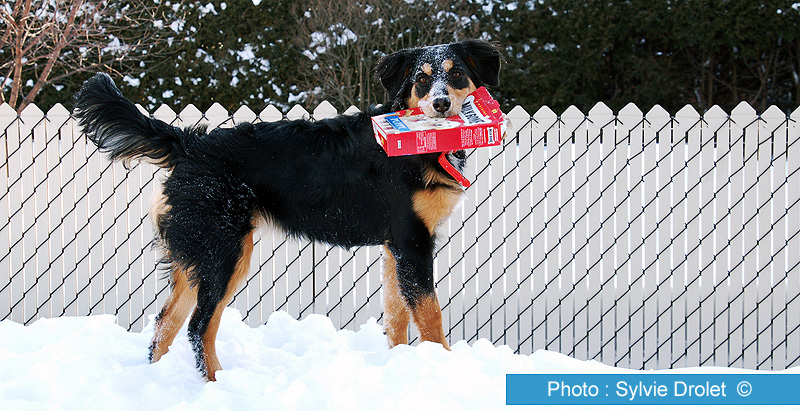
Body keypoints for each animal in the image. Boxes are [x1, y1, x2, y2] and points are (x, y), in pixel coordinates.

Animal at [73, 40, 500, 382]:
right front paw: (442, 368)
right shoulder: (412, 241)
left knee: (166, 323)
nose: (441, 103)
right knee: (198, 326)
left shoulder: (395, 246)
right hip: (225, 253)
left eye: (456, 73)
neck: (418, 145)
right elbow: (430, 315)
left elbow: (397, 315)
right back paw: (217, 384)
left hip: (194, 256)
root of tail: (189, 143)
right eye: (422, 79)